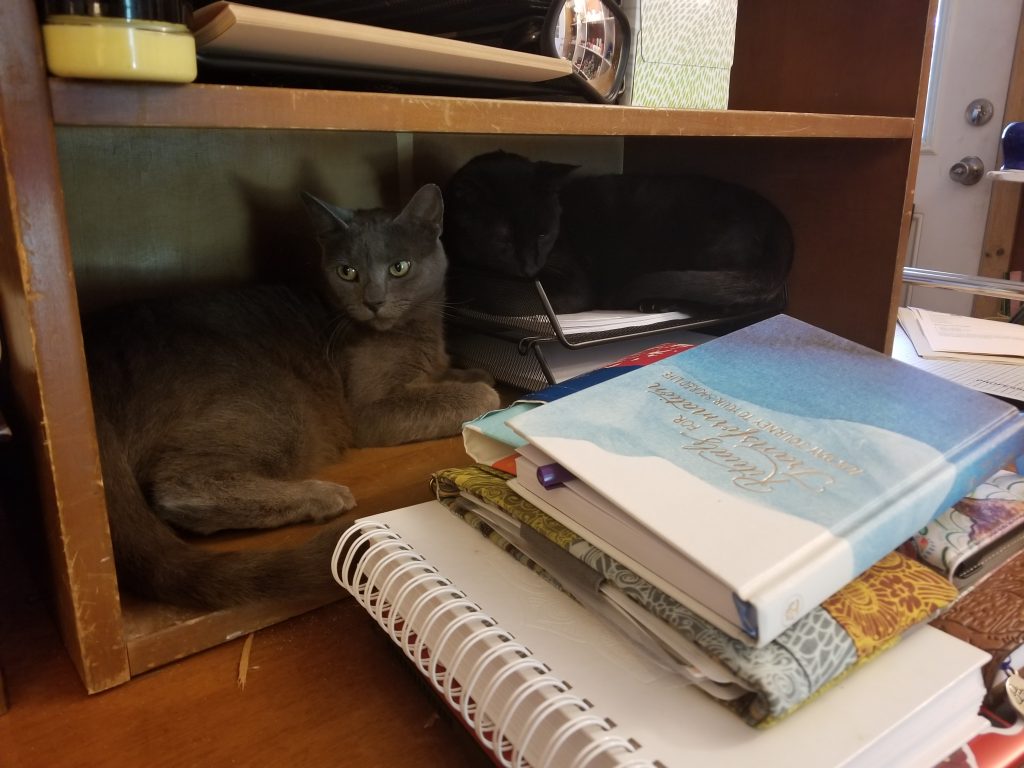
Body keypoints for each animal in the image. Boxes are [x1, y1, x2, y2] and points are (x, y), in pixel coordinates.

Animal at [82, 183, 499, 609]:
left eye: (400, 267)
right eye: (347, 272)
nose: (373, 301)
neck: (418, 329)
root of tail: (91, 360)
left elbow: (463, 376)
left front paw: (469, 374)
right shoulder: (370, 410)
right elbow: (483, 395)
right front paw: (481, 393)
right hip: (273, 404)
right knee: (178, 489)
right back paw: (322, 496)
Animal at [441, 149, 794, 315]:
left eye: (543, 235)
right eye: (502, 239)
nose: (529, 269)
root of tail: (773, 213)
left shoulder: (573, 284)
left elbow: (508, 299)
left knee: (739, 303)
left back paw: (656, 304)